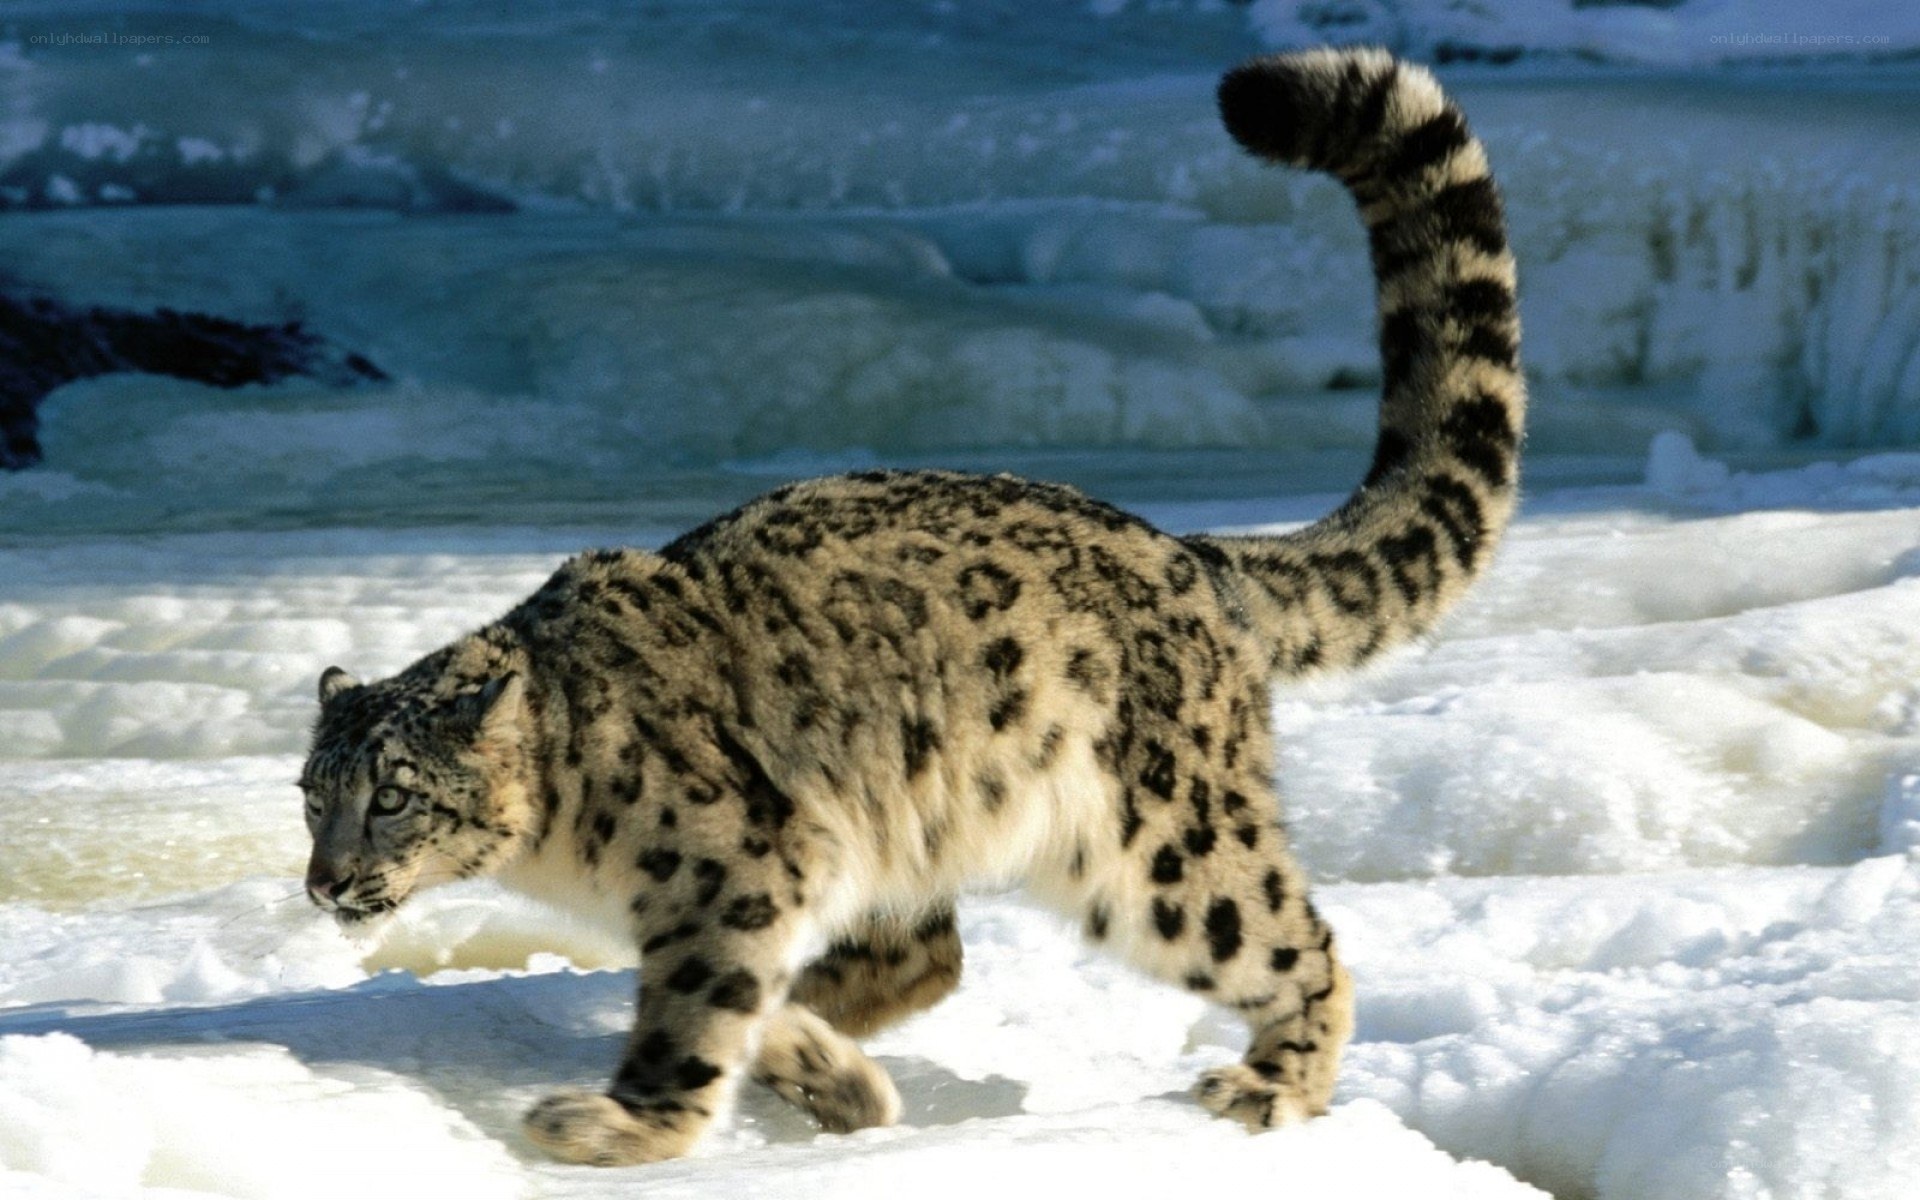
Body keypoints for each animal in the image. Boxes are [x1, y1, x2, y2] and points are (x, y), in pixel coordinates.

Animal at [297, 46, 1525, 1166]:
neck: (563, 843)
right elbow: (735, 993)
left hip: (1164, 845)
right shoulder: (765, 888)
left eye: (394, 796)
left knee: (1293, 939)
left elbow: (695, 1012)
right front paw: (825, 1076)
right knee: (927, 953)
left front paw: (619, 1126)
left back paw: (1271, 1088)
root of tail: (1185, 551)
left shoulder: (734, 870)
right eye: (313, 797)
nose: (327, 883)